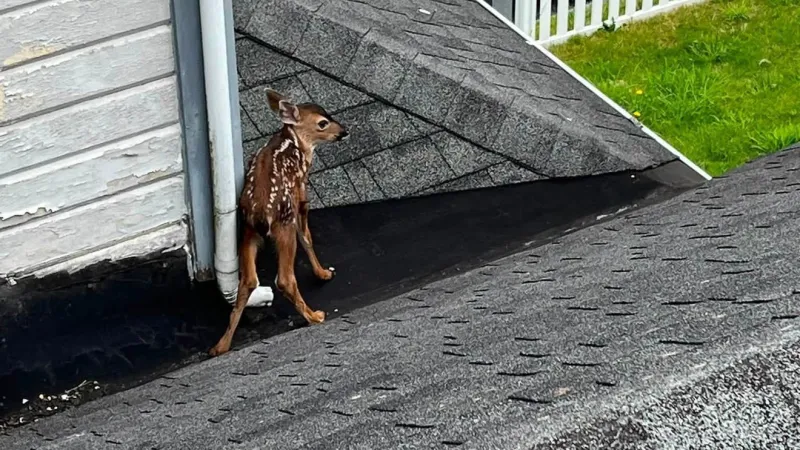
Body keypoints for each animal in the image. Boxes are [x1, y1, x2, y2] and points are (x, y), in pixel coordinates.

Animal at [209, 88, 348, 357]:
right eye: (322, 123)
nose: (344, 131)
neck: (294, 144)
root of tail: (260, 215)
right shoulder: (300, 195)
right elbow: (307, 236)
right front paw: (323, 273)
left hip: (249, 232)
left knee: (248, 281)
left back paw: (220, 346)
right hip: (283, 224)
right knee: (284, 279)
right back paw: (315, 316)